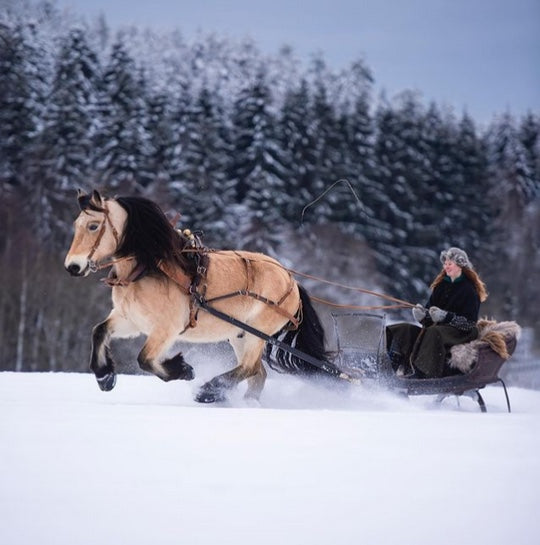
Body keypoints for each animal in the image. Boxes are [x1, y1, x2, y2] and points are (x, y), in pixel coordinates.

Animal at [63, 189, 334, 402]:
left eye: (93, 226)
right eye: (76, 225)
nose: (72, 267)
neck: (149, 268)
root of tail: (291, 279)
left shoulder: (167, 329)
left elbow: (145, 359)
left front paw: (184, 370)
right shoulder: (130, 320)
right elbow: (99, 331)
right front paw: (105, 376)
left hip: (258, 332)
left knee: (248, 368)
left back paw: (209, 391)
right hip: (239, 334)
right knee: (257, 374)